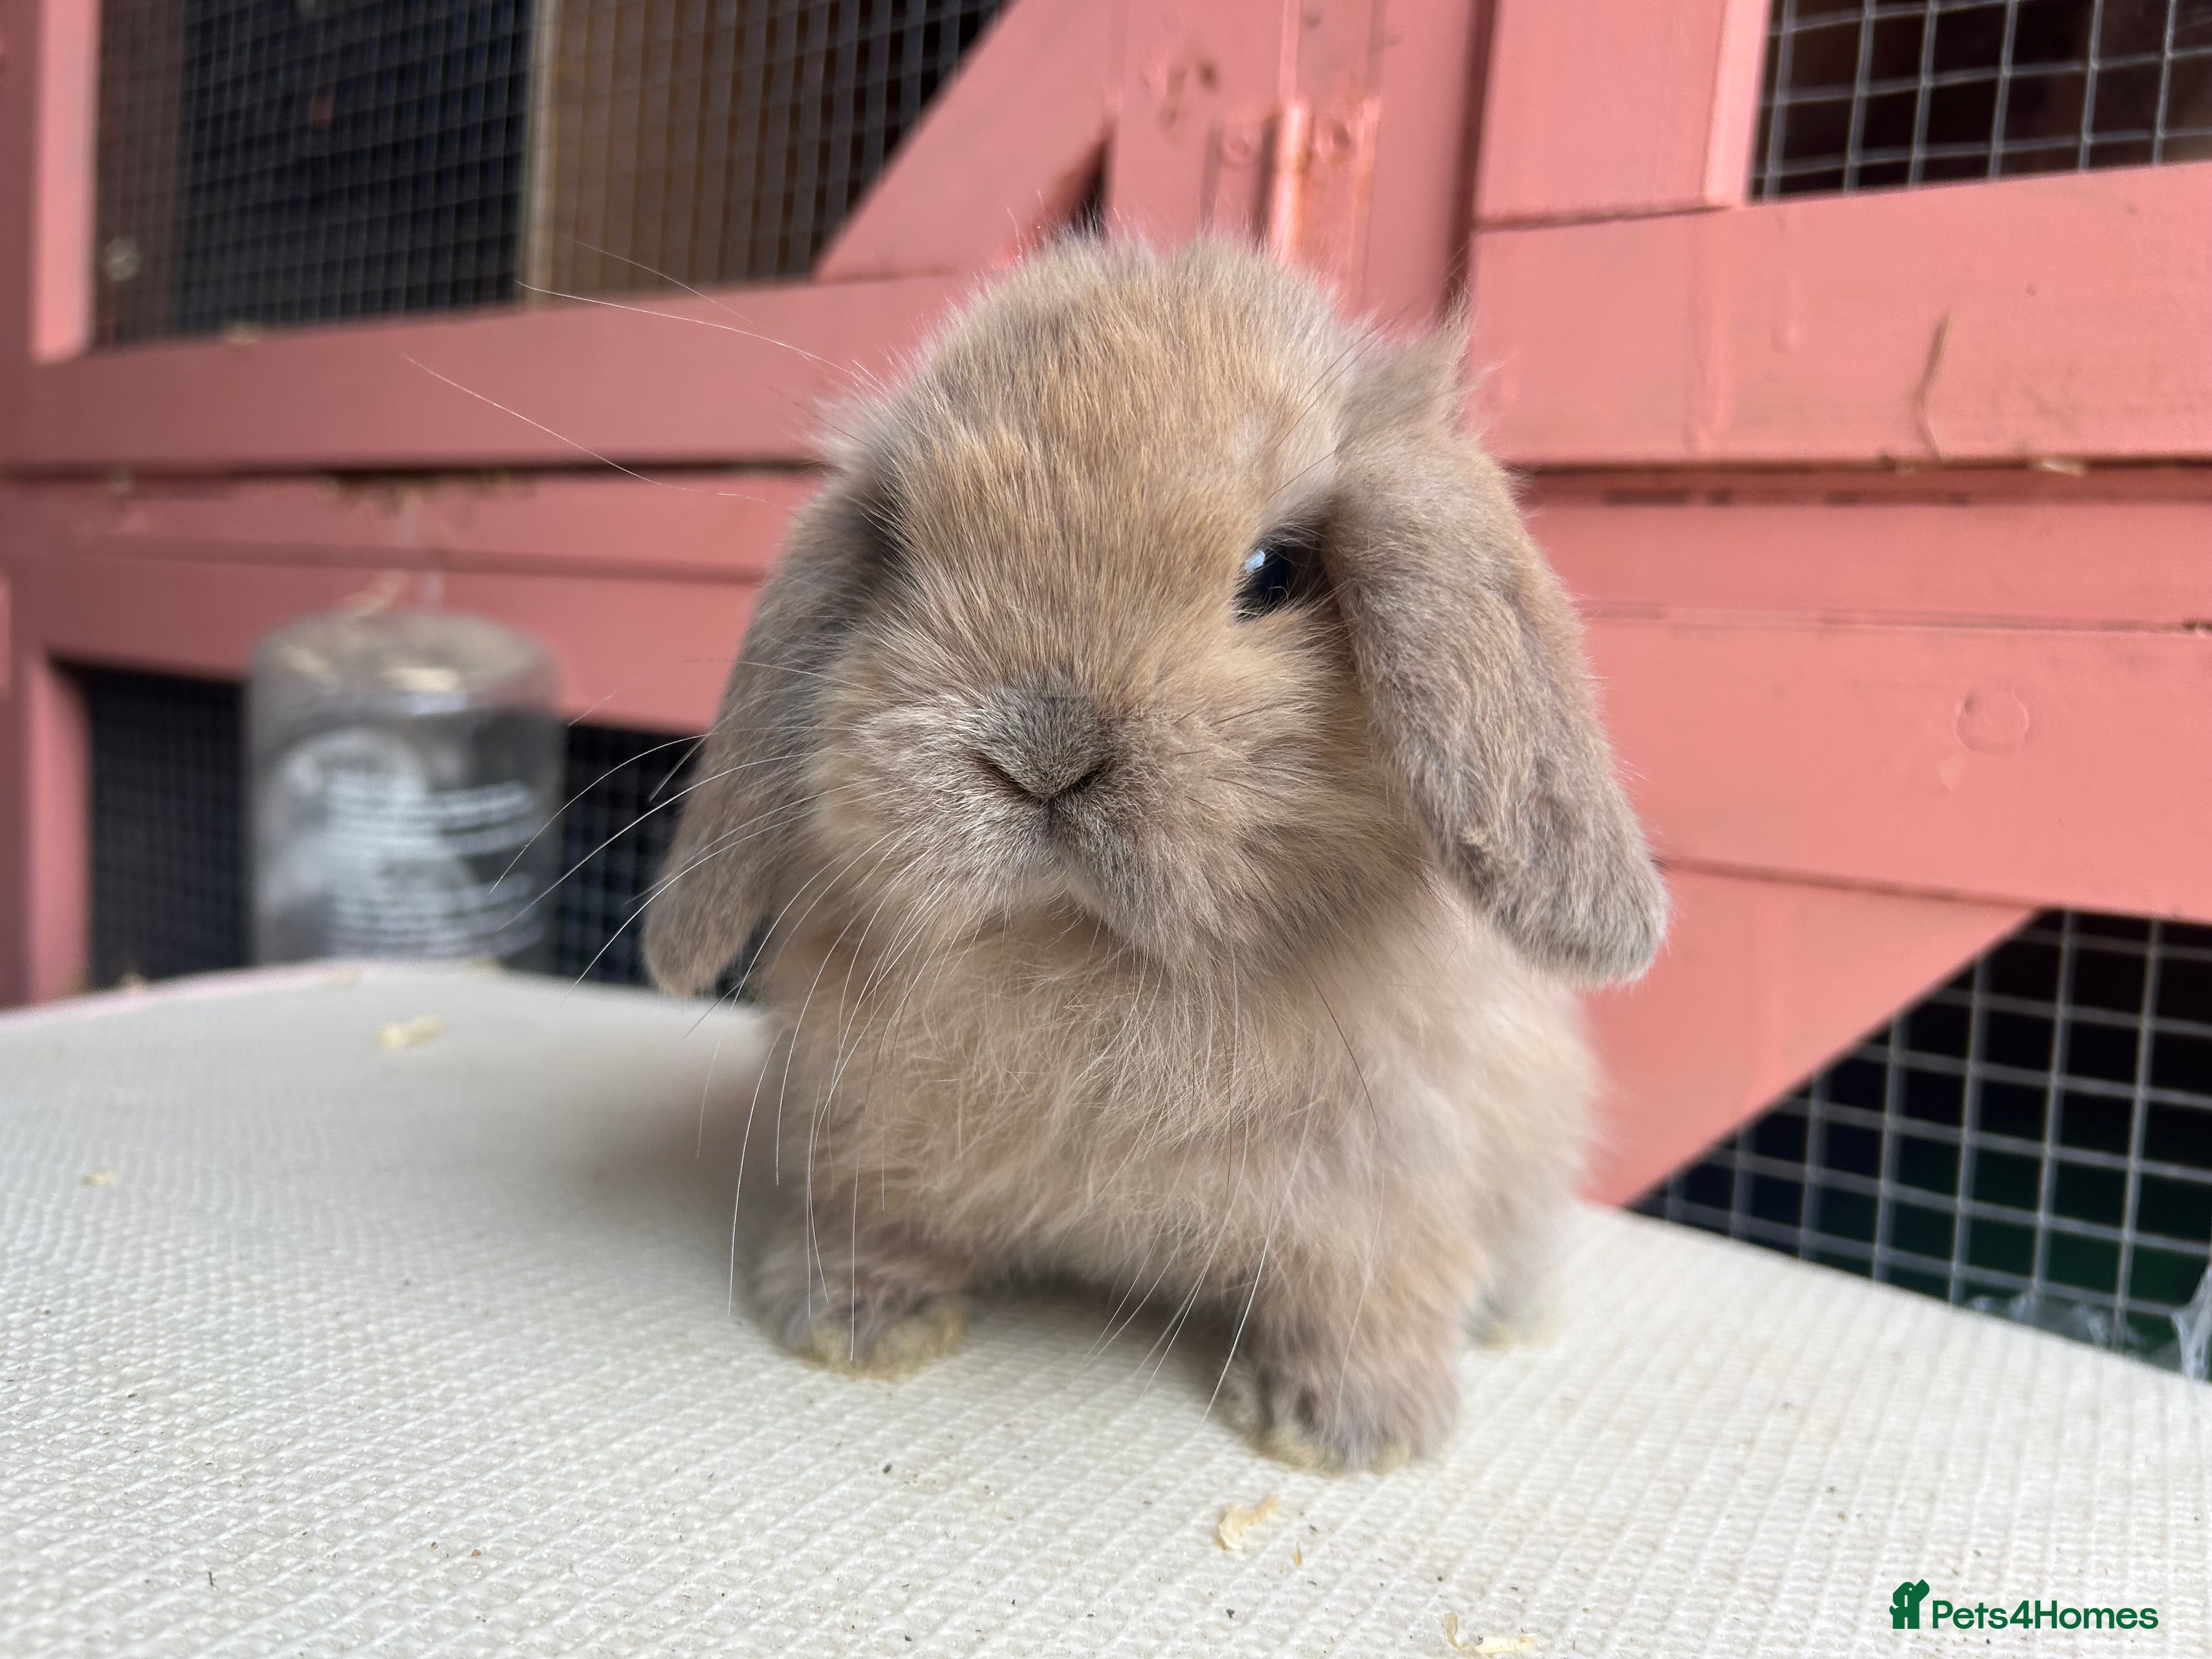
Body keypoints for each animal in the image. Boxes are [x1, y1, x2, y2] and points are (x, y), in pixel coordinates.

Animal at [643, 238, 1666, 1473]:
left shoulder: (1386, 1189)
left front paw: (1346, 1429)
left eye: (1274, 572)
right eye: (900, 556)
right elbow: (880, 1222)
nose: (1043, 749)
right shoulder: (861, 1139)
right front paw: (846, 1318)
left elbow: (1363, 1298)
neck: (1088, 954)